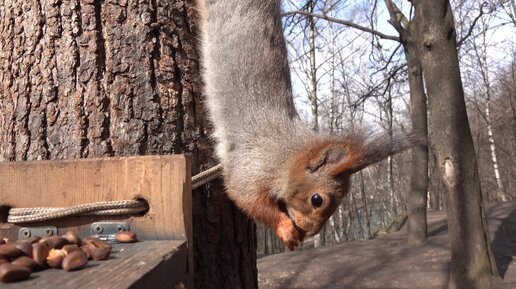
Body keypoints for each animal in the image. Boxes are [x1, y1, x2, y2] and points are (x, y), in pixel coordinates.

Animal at [196, 0, 418, 249]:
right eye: (317, 199)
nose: (311, 232)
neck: (285, 154)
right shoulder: (250, 167)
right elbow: (246, 198)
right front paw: (286, 229)